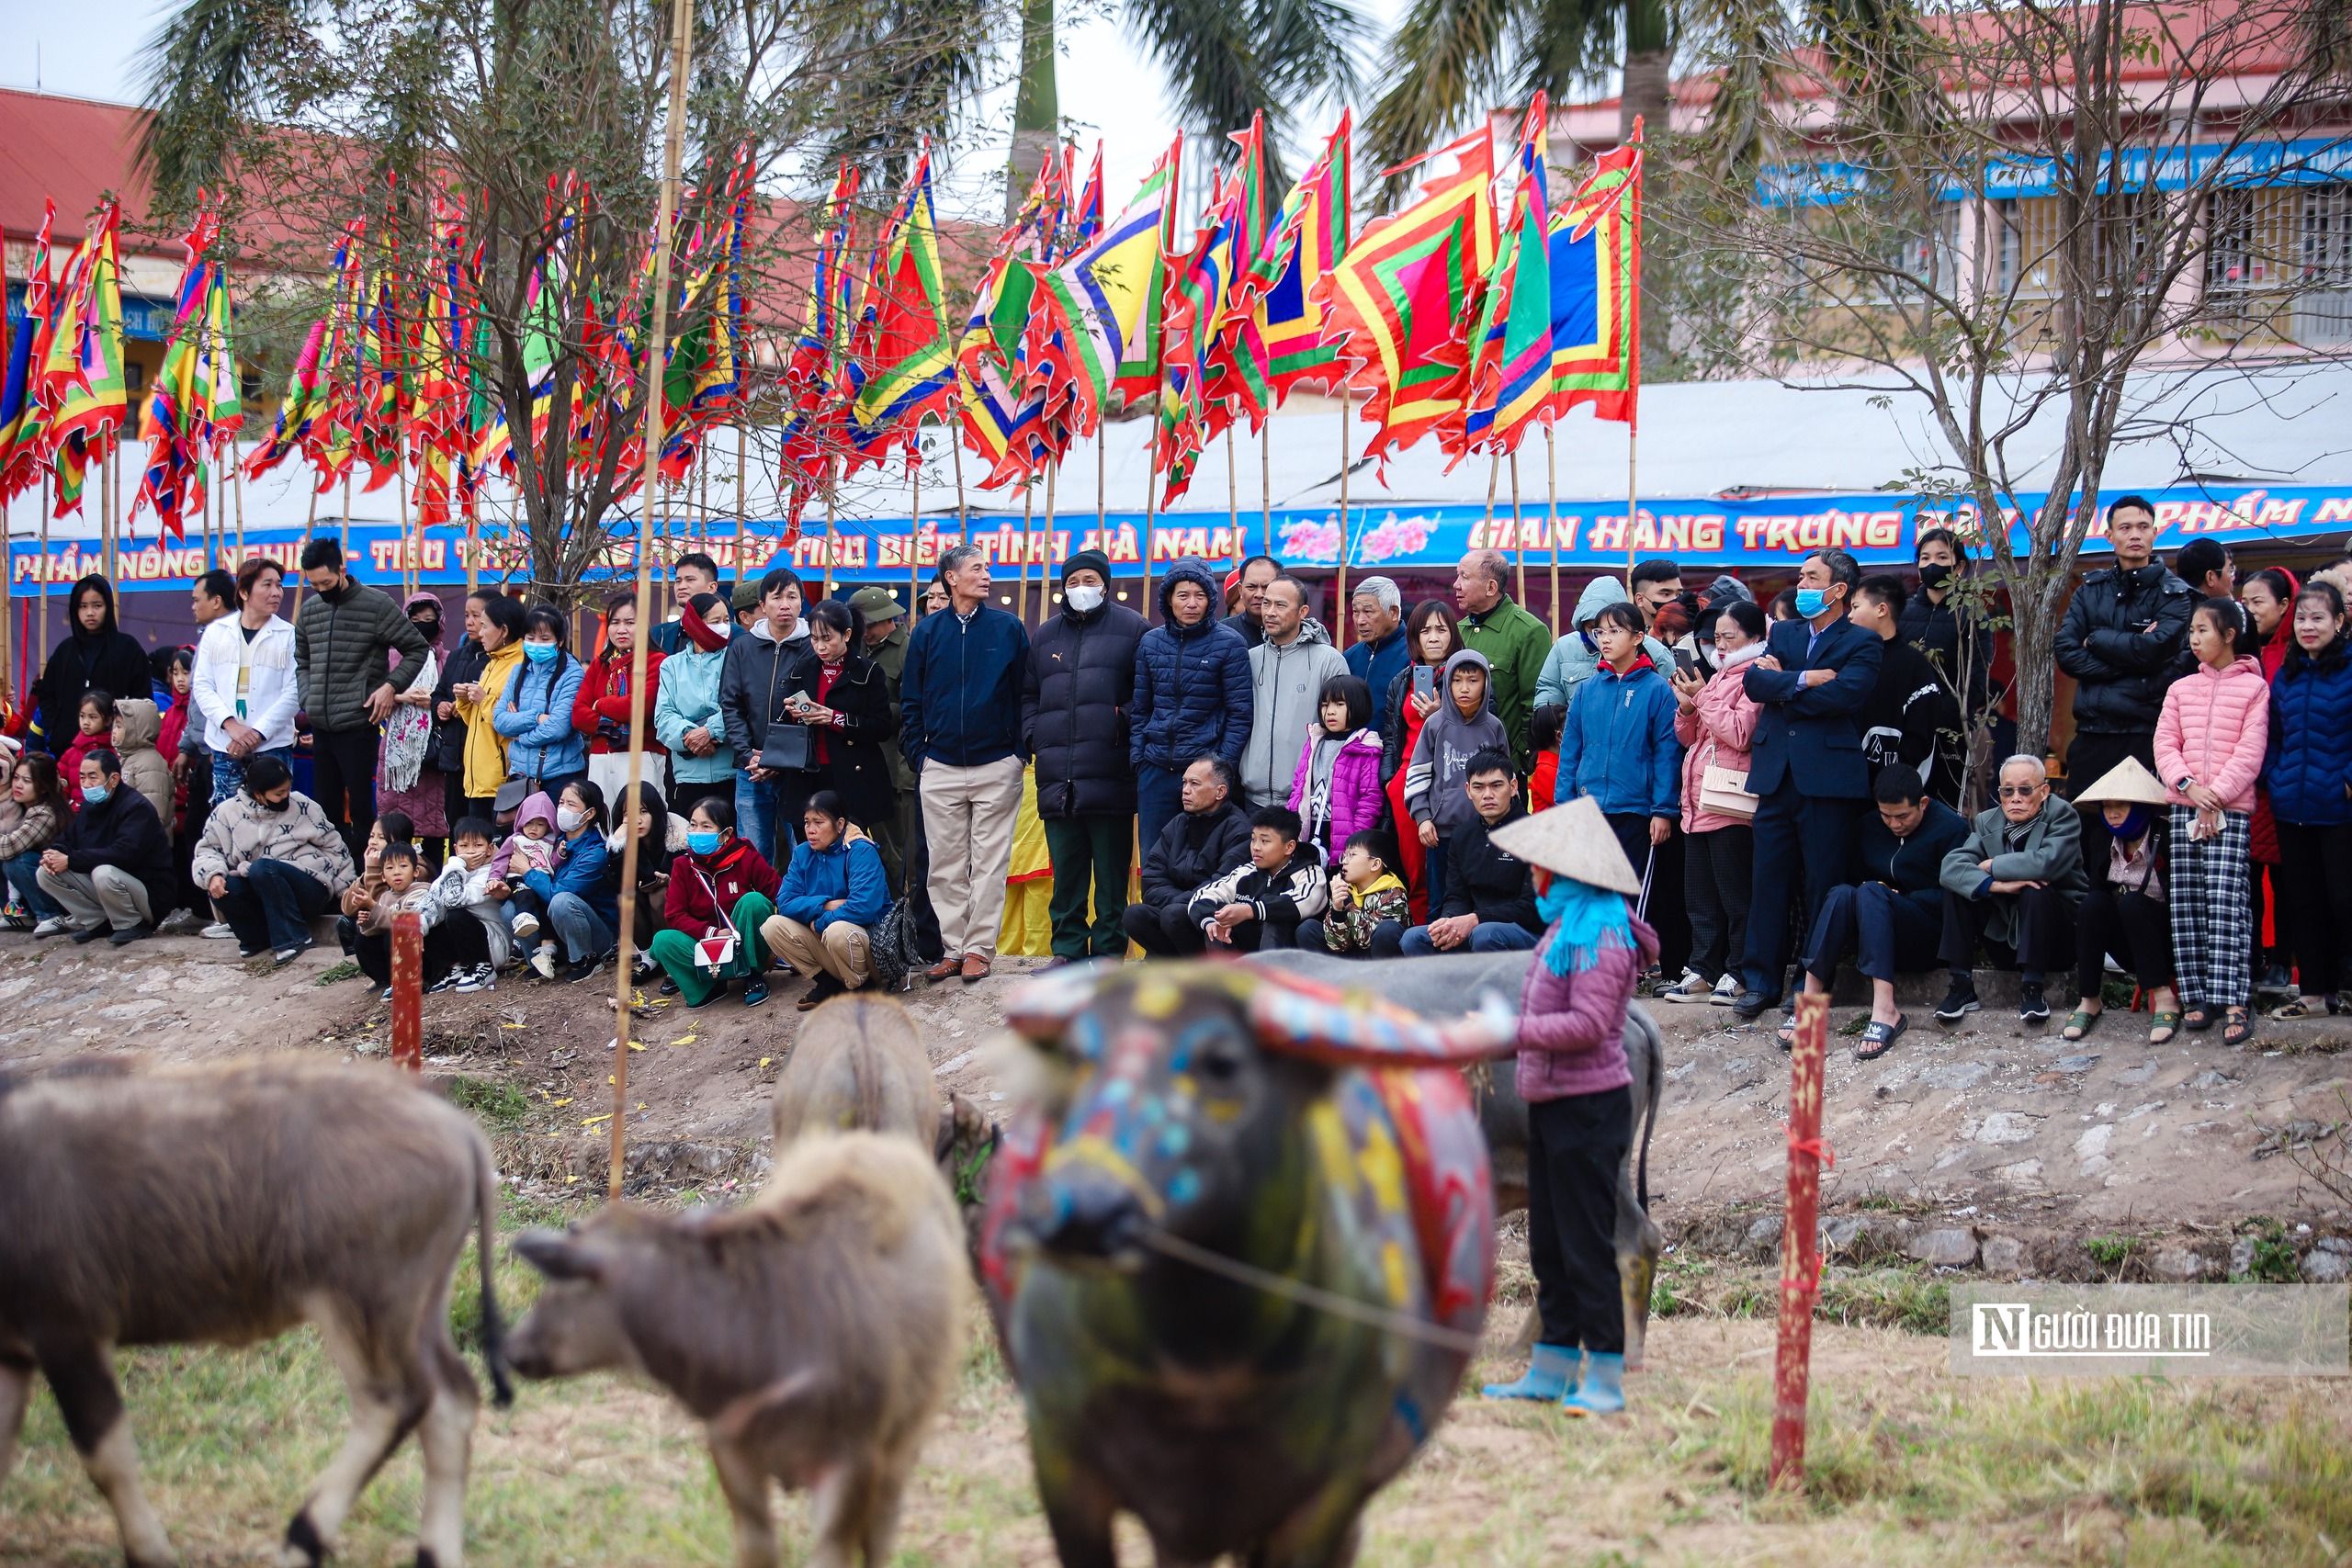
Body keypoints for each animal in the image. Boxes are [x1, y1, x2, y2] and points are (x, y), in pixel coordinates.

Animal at [0, 1053, 513, 1568]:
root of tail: (453, 1125)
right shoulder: (13, 1356)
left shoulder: (68, 1333)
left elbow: (106, 1458)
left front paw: (149, 1551)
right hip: (417, 1310)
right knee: (451, 1402)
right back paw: (434, 1551)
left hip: (359, 1303)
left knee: (394, 1402)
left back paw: (302, 1539)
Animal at [505, 1128, 964, 1568]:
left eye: (558, 1286)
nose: (514, 1348)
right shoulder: (730, 1450)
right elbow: (757, 1549)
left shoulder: (857, 1462)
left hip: (905, 1440)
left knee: (882, 1531)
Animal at [978, 959, 1505, 1568]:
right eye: (1077, 1056)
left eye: (1222, 1063)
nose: (1082, 1209)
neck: (1203, 1365)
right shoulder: (1060, 1460)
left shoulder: (1325, 1499)